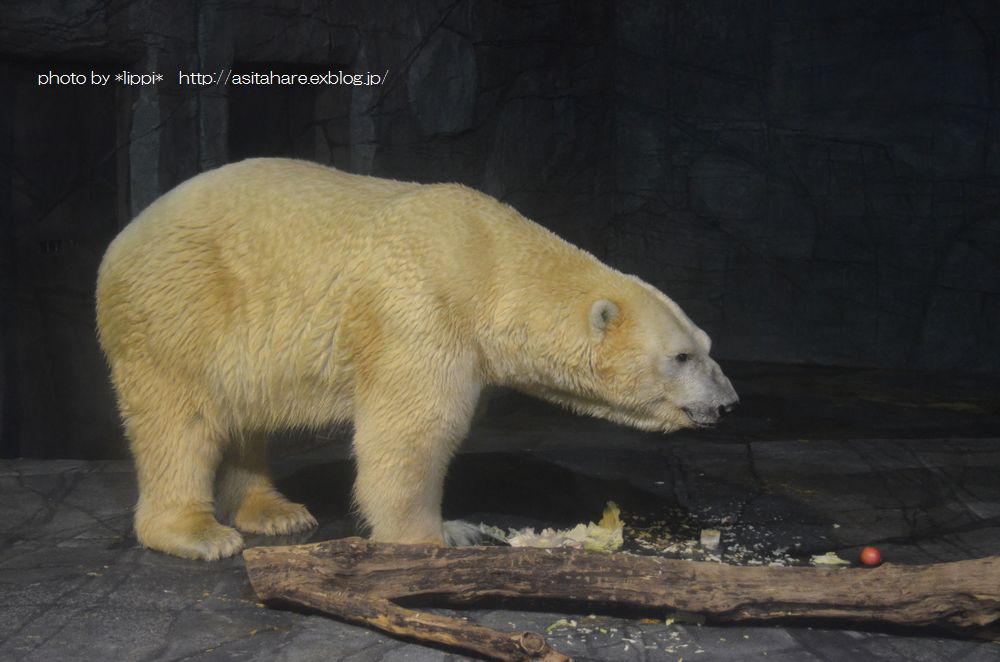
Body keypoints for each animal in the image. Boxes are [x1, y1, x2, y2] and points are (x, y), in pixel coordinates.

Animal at [97, 160, 740, 560]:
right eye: (681, 356)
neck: (487, 259)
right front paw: (437, 535)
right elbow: (414, 431)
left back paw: (274, 511)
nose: (729, 403)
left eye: (708, 345)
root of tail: (121, 241)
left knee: (242, 417)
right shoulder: (421, 311)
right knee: (181, 422)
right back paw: (198, 533)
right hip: (181, 308)